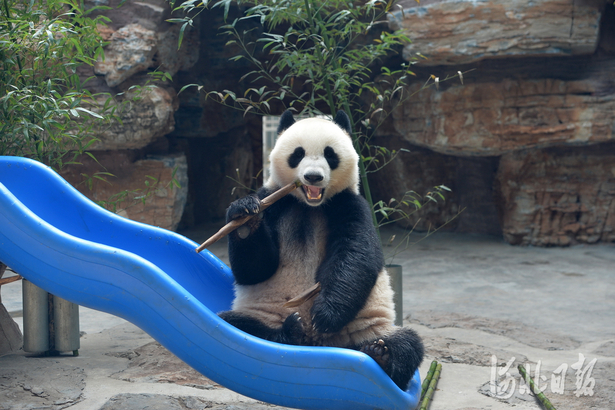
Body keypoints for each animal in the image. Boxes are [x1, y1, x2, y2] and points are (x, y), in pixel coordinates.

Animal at [218, 109, 424, 390]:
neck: (309, 206)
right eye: (297, 154)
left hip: (368, 328)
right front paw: (245, 217)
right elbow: (254, 270)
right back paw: (290, 331)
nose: (313, 176)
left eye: (330, 154)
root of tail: (317, 345)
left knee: (408, 344)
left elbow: (356, 256)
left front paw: (325, 315)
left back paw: (381, 354)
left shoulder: (349, 205)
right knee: (236, 326)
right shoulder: (274, 200)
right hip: (261, 315)